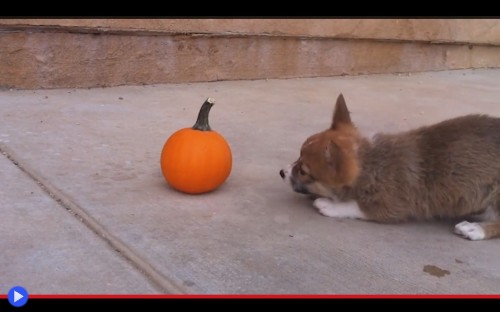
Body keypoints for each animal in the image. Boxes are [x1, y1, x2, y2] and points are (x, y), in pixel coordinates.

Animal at [280, 94, 500, 240]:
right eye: (298, 157)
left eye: (303, 171)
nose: (282, 172)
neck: (371, 162)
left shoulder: (393, 205)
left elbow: (358, 206)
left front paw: (329, 204)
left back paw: (475, 229)